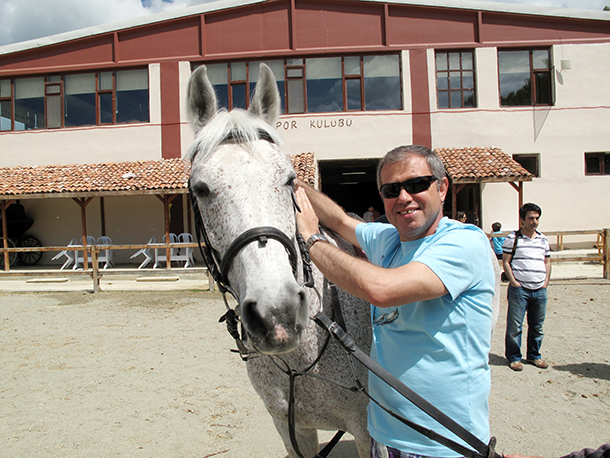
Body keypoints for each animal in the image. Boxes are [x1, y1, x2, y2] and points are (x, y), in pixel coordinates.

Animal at [185, 64, 370, 458]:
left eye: (289, 180)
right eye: (201, 189)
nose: (277, 315)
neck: (301, 363)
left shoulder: (369, 433)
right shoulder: (292, 431)